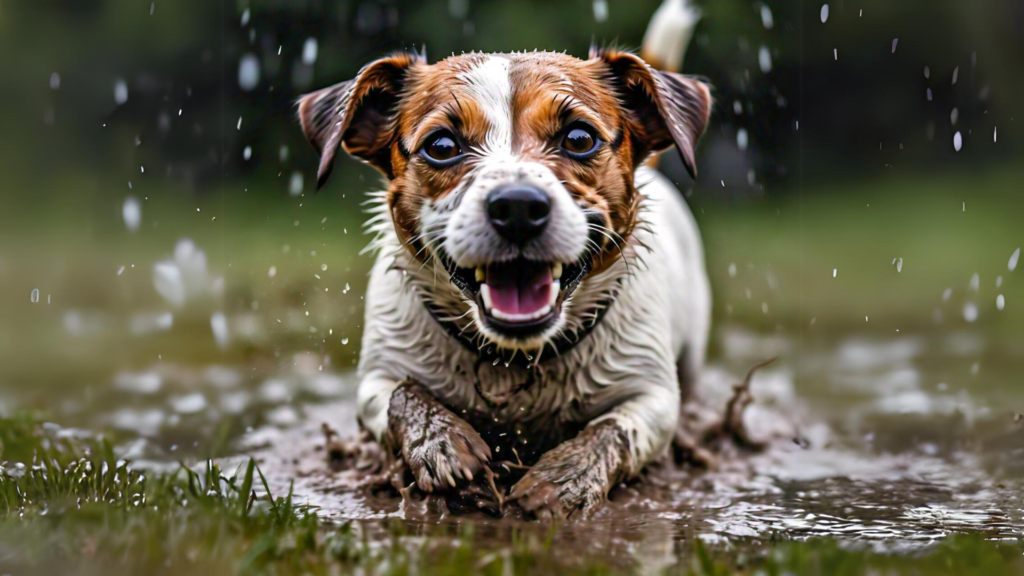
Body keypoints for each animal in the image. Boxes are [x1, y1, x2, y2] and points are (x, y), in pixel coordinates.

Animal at [299, 3, 708, 516]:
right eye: (442, 145)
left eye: (579, 138)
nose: (517, 206)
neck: (514, 358)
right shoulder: (379, 376)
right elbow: (402, 397)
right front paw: (441, 441)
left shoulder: (652, 396)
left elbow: (613, 432)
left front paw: (564, 478)